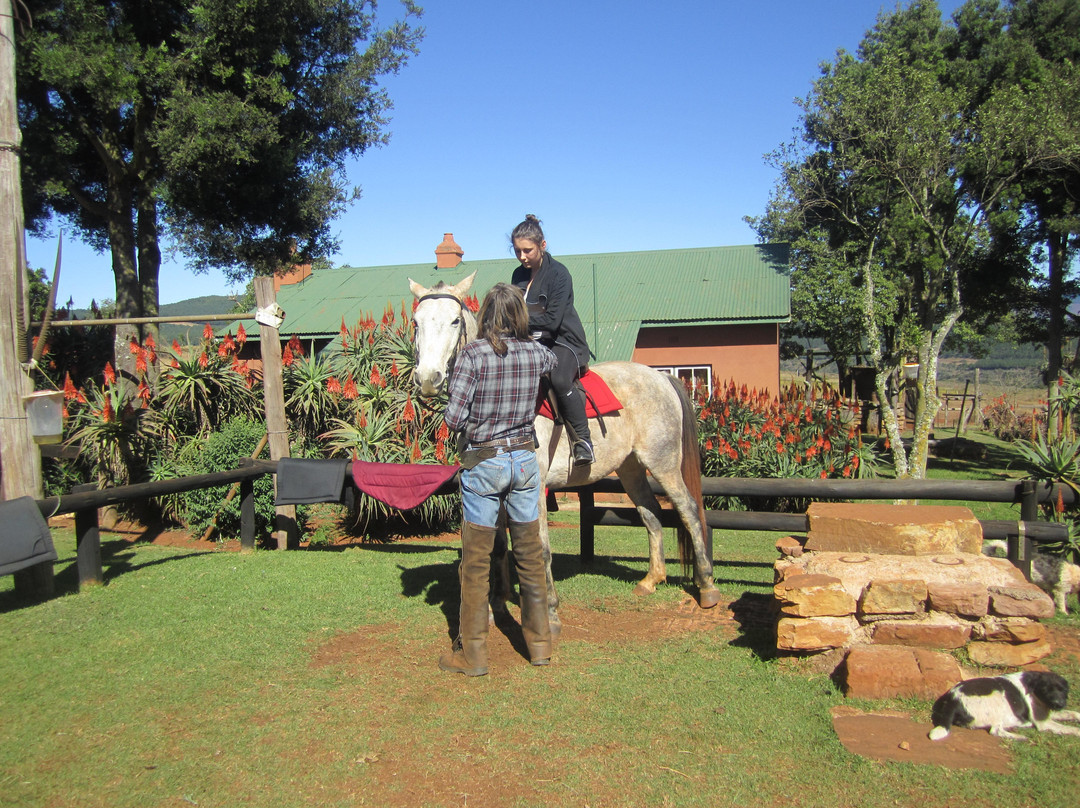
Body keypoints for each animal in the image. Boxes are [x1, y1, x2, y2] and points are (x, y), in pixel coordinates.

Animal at [409, 271, 721, 633]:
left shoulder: (534, 488)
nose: (428, 378)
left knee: (688, 510)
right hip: (630, 467)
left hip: (663, 463)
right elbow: (499, 546)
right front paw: (498, 600)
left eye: (455, 320)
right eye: (416, 322)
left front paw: (549, 612)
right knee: (651, 512)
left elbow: (540, 548)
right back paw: (651, 579)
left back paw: (707, 586)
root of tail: (661, 377)